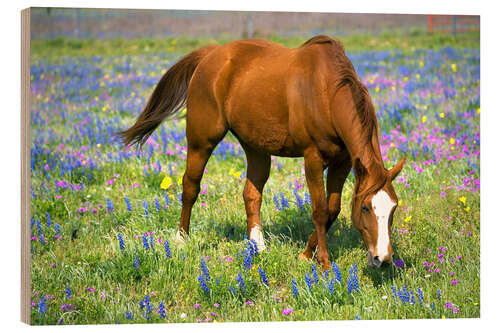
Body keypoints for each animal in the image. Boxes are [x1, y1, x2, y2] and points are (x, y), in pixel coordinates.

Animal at [120, 35, 406, 270]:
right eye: (367, 208)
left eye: (393, 208)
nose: (382, 259)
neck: (325, 91)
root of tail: (211, 56)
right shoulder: (312, 158)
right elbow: (320, 210)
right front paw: (322, 262)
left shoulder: (343, 161)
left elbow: (333, 209)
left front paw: (306, 254)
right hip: (201, 140)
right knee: (190, 186)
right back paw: (181, 239)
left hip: (255, 147)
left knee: (251, 193)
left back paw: (257, 246)